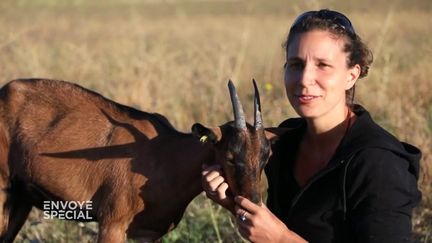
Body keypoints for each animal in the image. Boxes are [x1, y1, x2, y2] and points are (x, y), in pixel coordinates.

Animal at [0, 79, 276, 242]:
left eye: (267, 156)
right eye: (229, 156)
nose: (252, 205)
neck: (165, 154)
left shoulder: (147, 234)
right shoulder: (111, 224)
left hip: (21, 200)